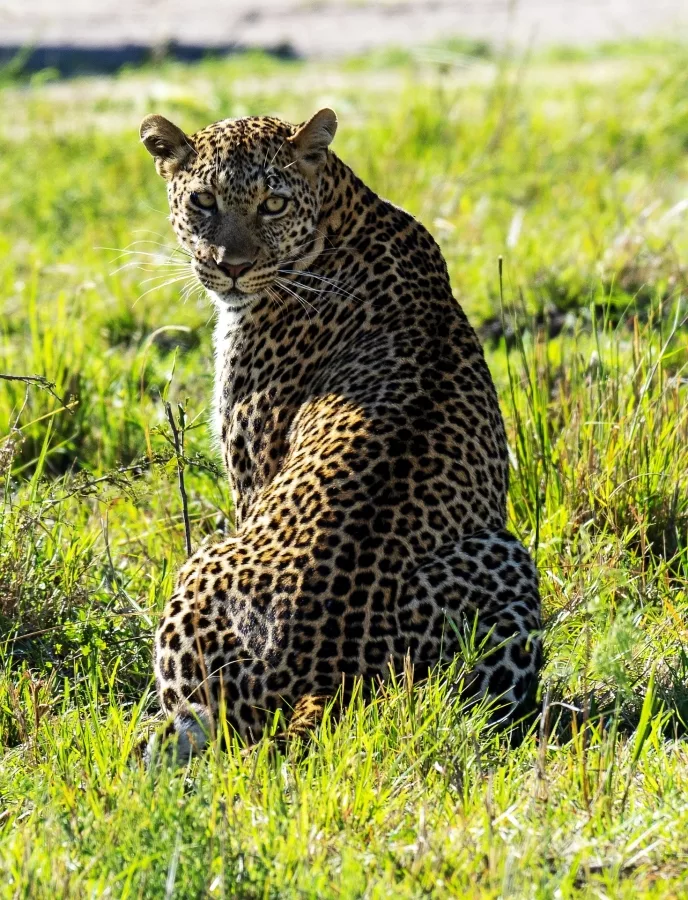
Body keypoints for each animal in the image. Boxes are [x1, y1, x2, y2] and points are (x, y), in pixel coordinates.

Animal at [137, 107, 540, 760]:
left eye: (272, 204)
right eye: (203, 200)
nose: (231, 266)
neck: (339, 213)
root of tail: (322, 678)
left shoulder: (249, 474)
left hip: (200, 573)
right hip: (506, 560)